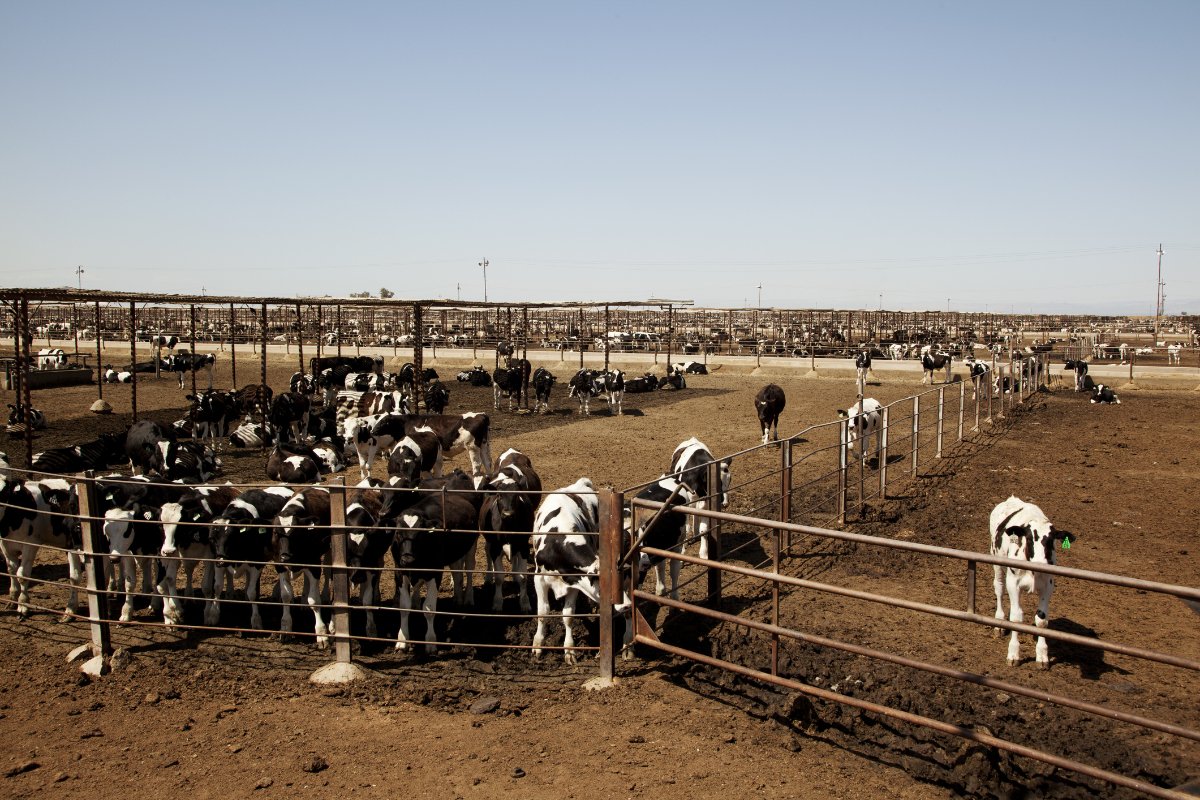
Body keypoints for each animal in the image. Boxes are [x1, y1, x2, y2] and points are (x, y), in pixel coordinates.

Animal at [477, 450, 544, 614]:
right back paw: (488, 576)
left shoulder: (523, 544)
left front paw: (525, 603)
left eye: (517, 495)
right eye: (499, 495)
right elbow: (499, 577)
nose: (508, 514)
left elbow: (523, 577)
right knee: (487, 550)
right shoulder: (495, 546)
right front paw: (497, 603)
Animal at [988, 496, 1075, 666]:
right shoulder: (1013, 584)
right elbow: (1016, 618)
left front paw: (1042, 655)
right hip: (996, 559)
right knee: (999, 588)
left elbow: (1041, 620)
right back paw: (999, 621)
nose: (1040, 563)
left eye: (1051, 540)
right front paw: (1013, 654)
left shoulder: (1048, 587)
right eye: (1029, 538)